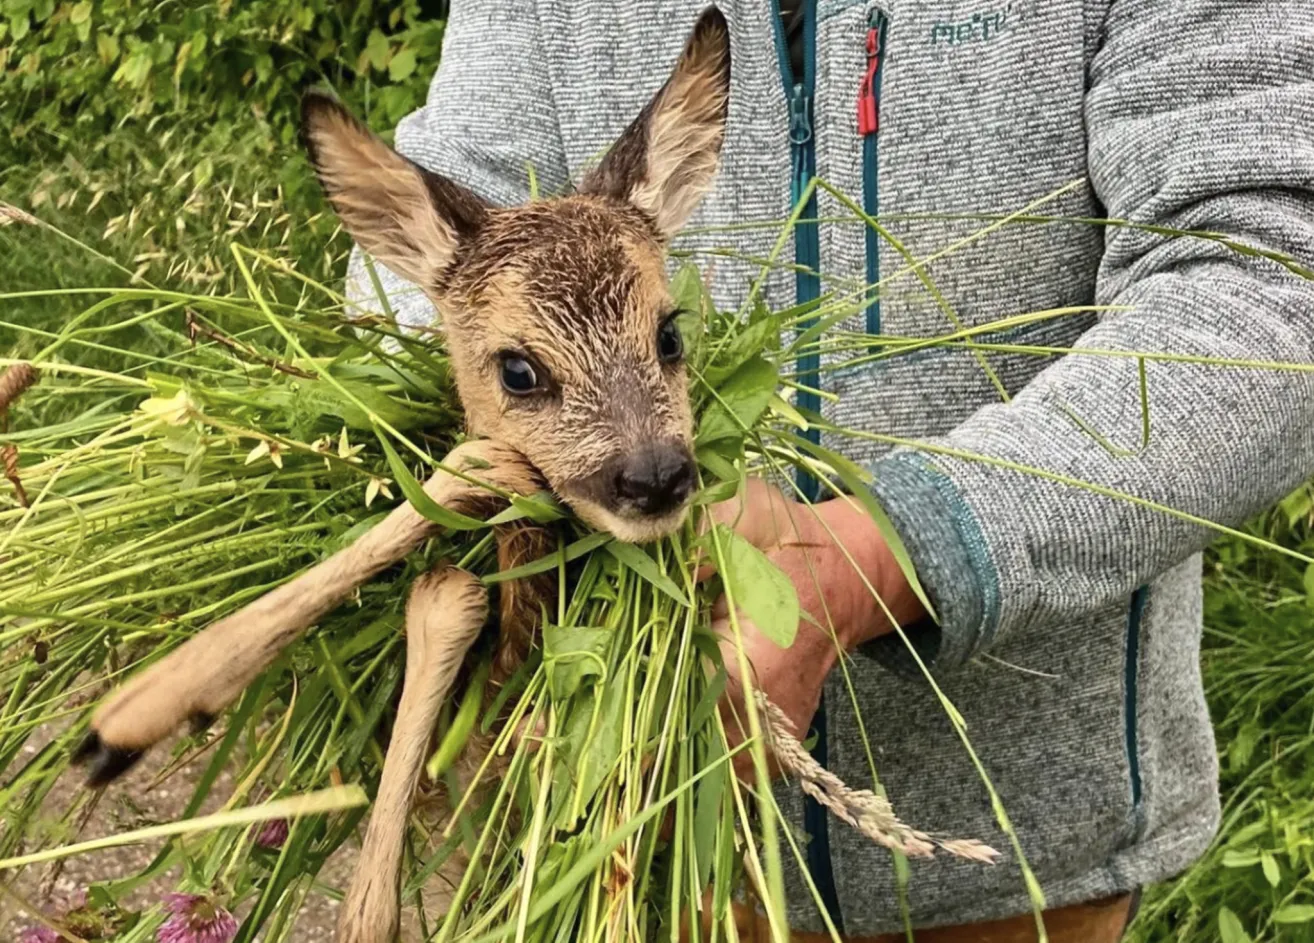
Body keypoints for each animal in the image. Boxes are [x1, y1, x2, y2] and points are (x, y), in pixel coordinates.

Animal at [70, 9, 733, 942]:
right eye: (518, 369)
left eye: (670, 333)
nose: (657, 478)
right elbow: (462, 495)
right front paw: (137, 712)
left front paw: (135, 714)